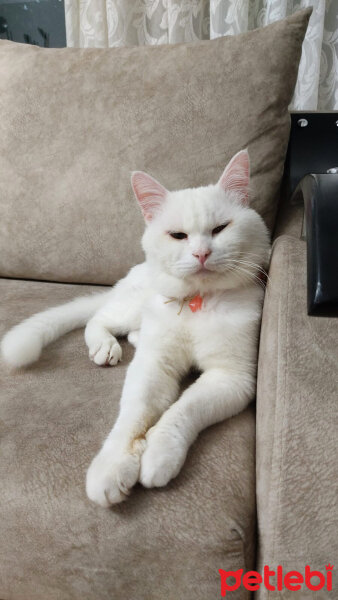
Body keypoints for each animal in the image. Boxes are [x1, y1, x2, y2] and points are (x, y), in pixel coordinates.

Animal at [0, 150, 270, 506]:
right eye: (178, 235)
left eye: (220, 229)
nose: (201, 253)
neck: (197, 303)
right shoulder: (153, 367)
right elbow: (132, 417)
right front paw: (111, 467)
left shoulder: (231, 378)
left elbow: (184, 409)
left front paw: (159, 453)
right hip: (133, 306)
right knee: (98, 318)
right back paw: (104, 347)